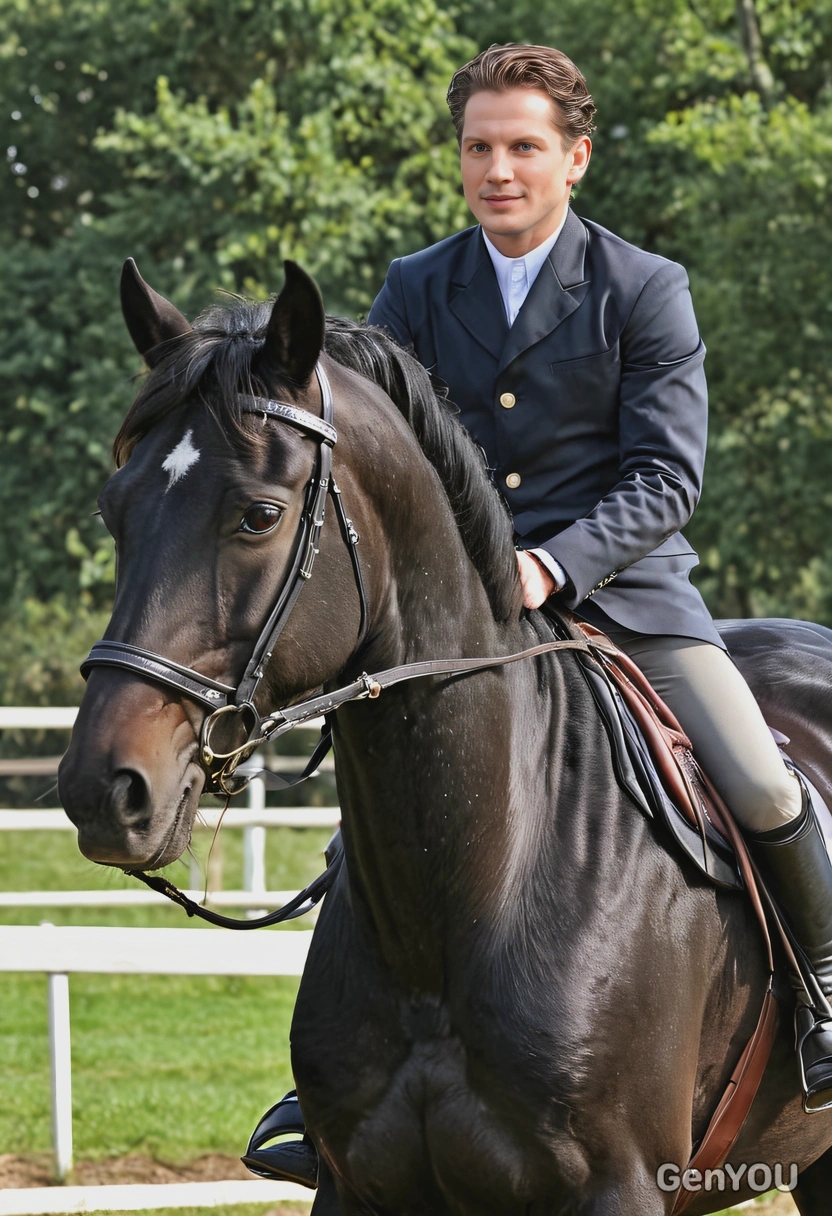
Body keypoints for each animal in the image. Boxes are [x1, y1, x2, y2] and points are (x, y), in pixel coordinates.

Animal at [58, 259, 832, 1214]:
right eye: (114, 510)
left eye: (258, 516)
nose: (103, 789)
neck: (469, 891)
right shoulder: (354, 1186)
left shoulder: (623, 1187)